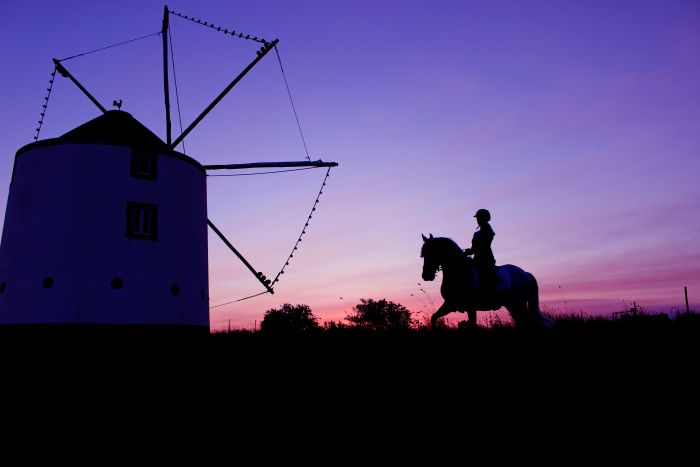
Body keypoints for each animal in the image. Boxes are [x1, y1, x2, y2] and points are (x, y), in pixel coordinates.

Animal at [422, 234, 552, 330]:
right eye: (423, 254)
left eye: (432, 252)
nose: (426, 276)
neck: (459, 272)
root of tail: (525, 273)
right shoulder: (450, 304)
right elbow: (434, 318)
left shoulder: (470, 307)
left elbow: (473, 327)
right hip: (512, 305)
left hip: (518, 304)